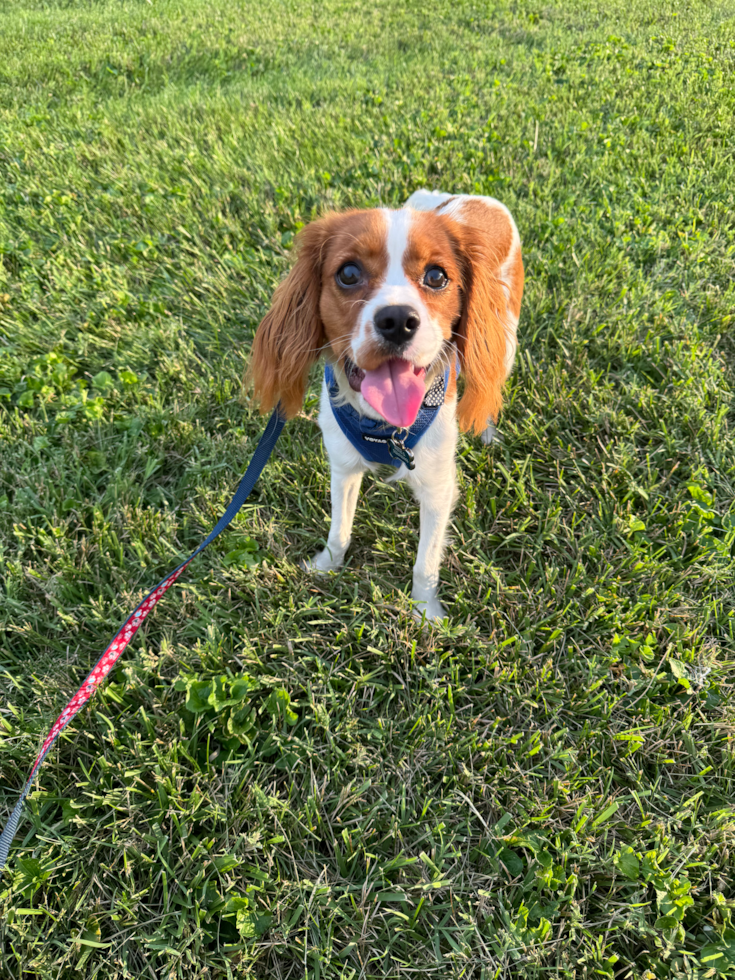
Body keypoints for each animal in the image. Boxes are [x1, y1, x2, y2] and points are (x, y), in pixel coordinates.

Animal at [252, 189, 524, 624]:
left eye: (436, 276)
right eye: (348, 273)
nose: (397, 320)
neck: (384, 426)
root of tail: (476, 198)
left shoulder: (438, 488)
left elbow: (425, 563)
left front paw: (425, 612)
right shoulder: (343, 467)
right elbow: (339, 529)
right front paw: (326, 566)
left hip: (505, 340)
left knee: (489, 382)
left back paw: (485, 427)